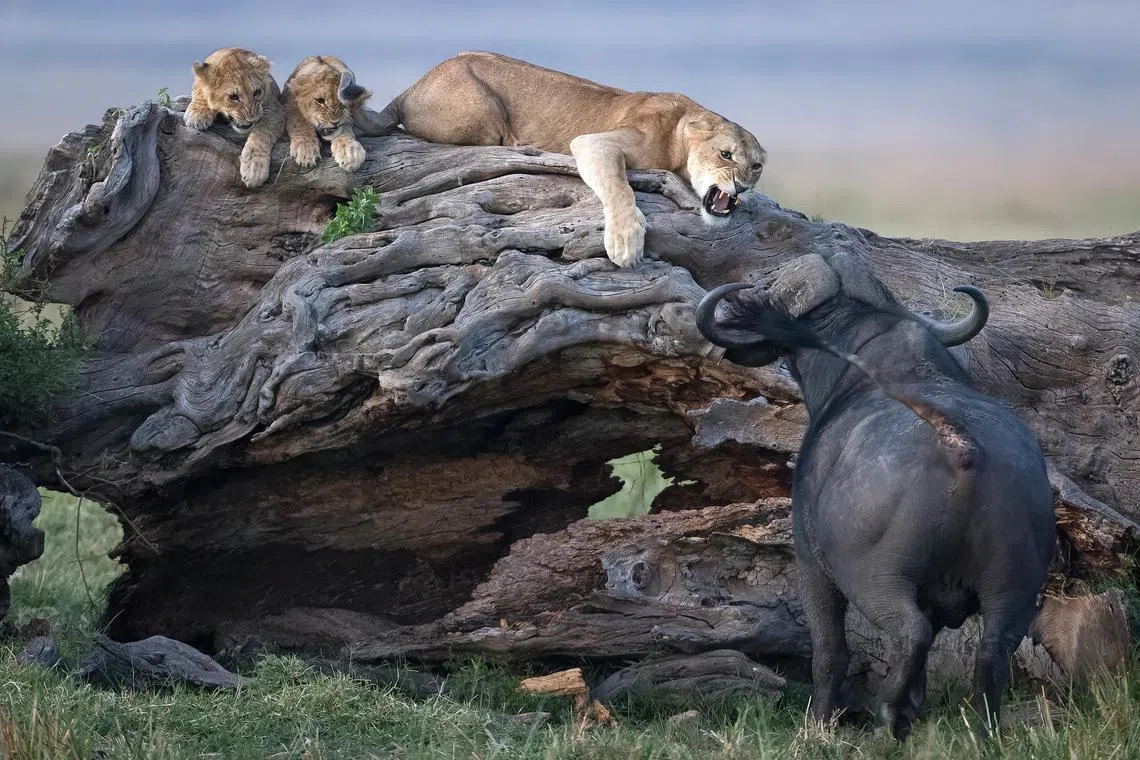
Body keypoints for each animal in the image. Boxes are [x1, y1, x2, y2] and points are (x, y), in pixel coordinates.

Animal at [183, 47, 286, 189]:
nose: (251, 120)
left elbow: (262, 133)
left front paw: (254, 169)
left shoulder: (276, 110)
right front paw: (197, 114)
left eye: (257, 93)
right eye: (233, 97)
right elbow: (200, 87)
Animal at [354, 51, 767, 268]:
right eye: (725, 154)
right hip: (482, 113)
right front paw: (625, 244)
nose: (742, 186)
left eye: (757, 165)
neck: (682, 132)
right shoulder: (592, 144)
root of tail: (411, 87)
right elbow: (619, 188)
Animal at [696, 252, 1055, 739]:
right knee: (993, 648)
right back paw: (981, 729)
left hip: (875, 580)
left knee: (909, 633)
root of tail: (960, 445)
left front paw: (819, 723)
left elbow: (829, 651)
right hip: (1014, 587)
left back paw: (888, 715)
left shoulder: (811, 566)